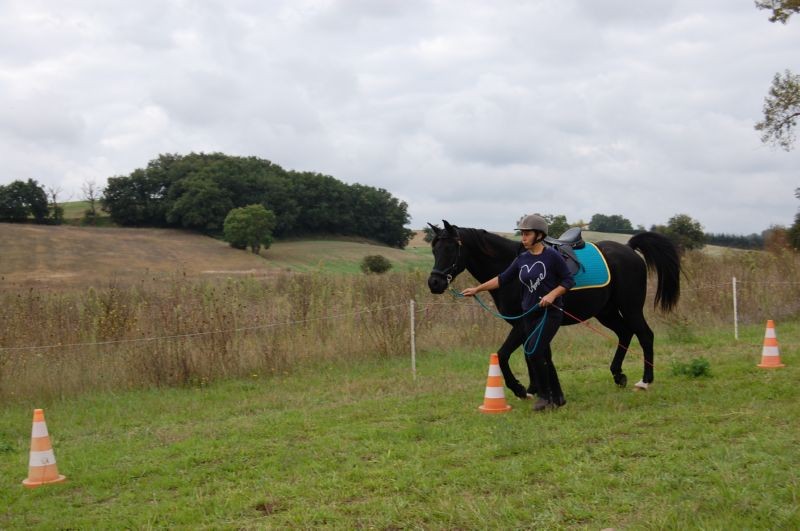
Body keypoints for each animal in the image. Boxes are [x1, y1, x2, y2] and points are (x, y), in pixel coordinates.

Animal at [426, 220, 681, 396]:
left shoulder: (521, 323)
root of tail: (629, 249)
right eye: (434, 249)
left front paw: (519, 388)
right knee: (625, 333)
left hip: (630, 307)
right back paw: (618, 374)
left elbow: (503, 354)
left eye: (450, 249)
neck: (512, 269)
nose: (434, 283)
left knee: (645, 335)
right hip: (605, 311)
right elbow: (531, 354)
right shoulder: (529, 323)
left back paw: (645, 380)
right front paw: (535, 388)